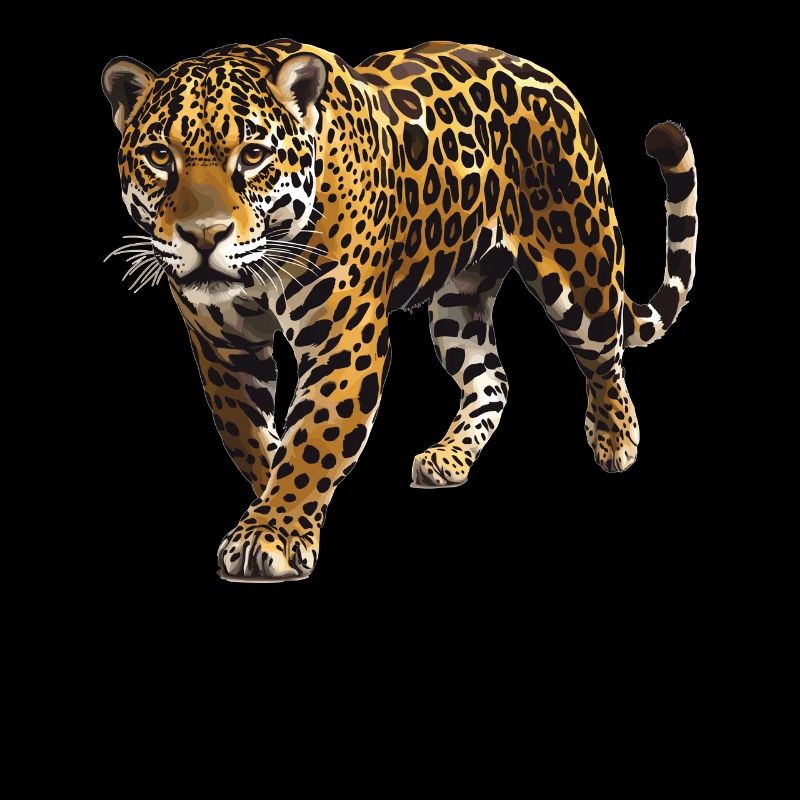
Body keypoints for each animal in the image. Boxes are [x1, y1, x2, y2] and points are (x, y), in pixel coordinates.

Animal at [102, 39, 698, 581]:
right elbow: (247, 434)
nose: (204, 235)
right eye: (160, 157)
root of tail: (545, 74)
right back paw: (448, 458)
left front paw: (273, 531)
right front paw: (270, 507)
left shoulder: (343, 339)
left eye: (252, 156)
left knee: (605, 354)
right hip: (459, 299)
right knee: (492, 376)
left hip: (578, 262)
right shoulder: (224, 349)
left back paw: (615, 440)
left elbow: (312, 437)